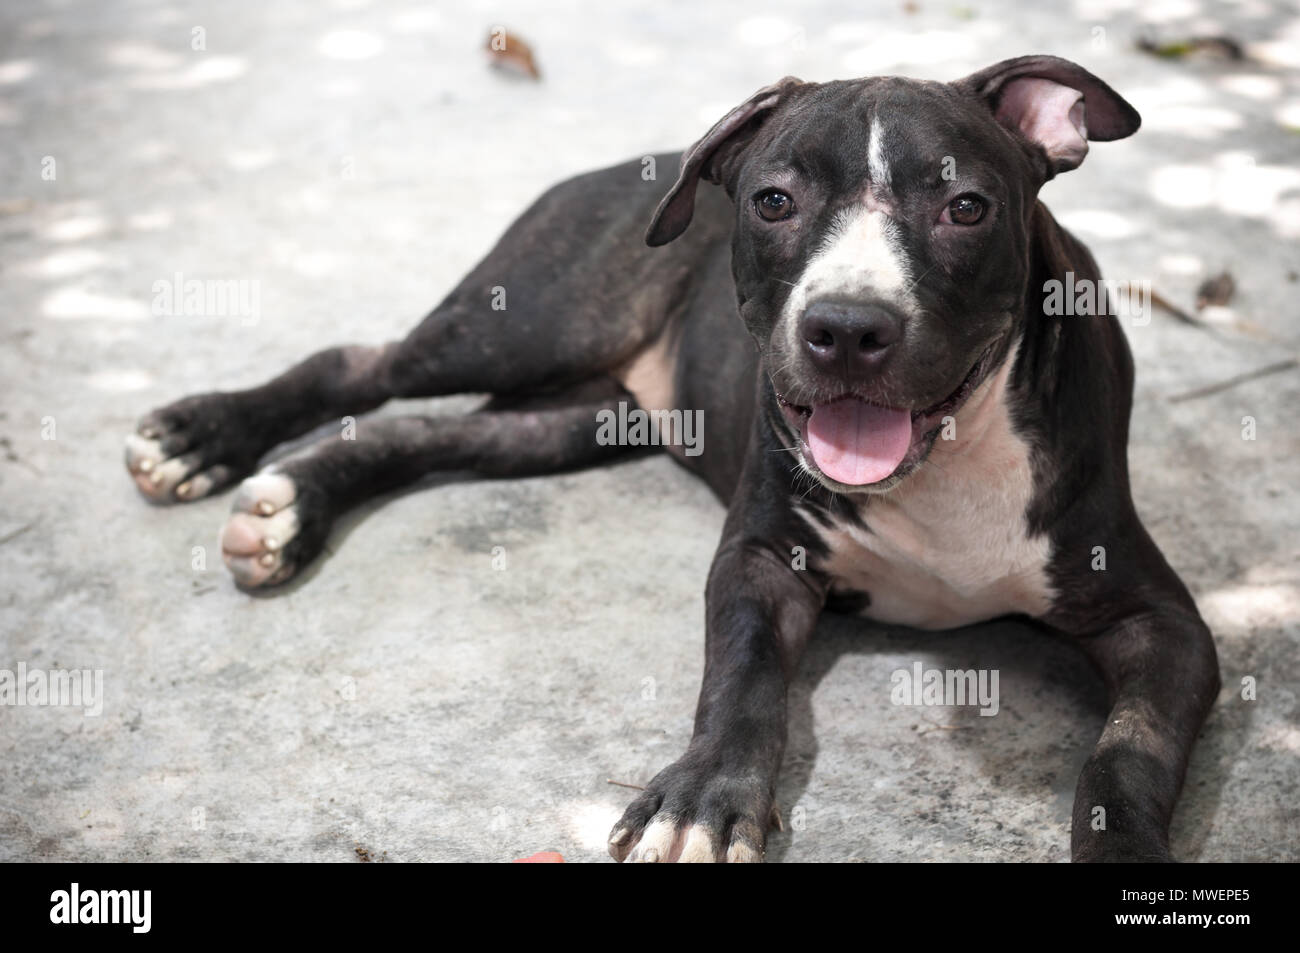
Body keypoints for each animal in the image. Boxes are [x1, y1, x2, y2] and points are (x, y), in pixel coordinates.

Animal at [122, 57, 1216, 863]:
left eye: (967, 208)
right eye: (773, 201)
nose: (845, 327)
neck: (942, 464)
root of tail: (638, 159)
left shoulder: (1161, 622)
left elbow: (1125, 760)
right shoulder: (761, 559)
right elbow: (741, 680)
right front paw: (701, 799)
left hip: (573, 418)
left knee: (425, 432)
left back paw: (290, 506)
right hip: (527, 319)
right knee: (362, 363)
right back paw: (202, 439)